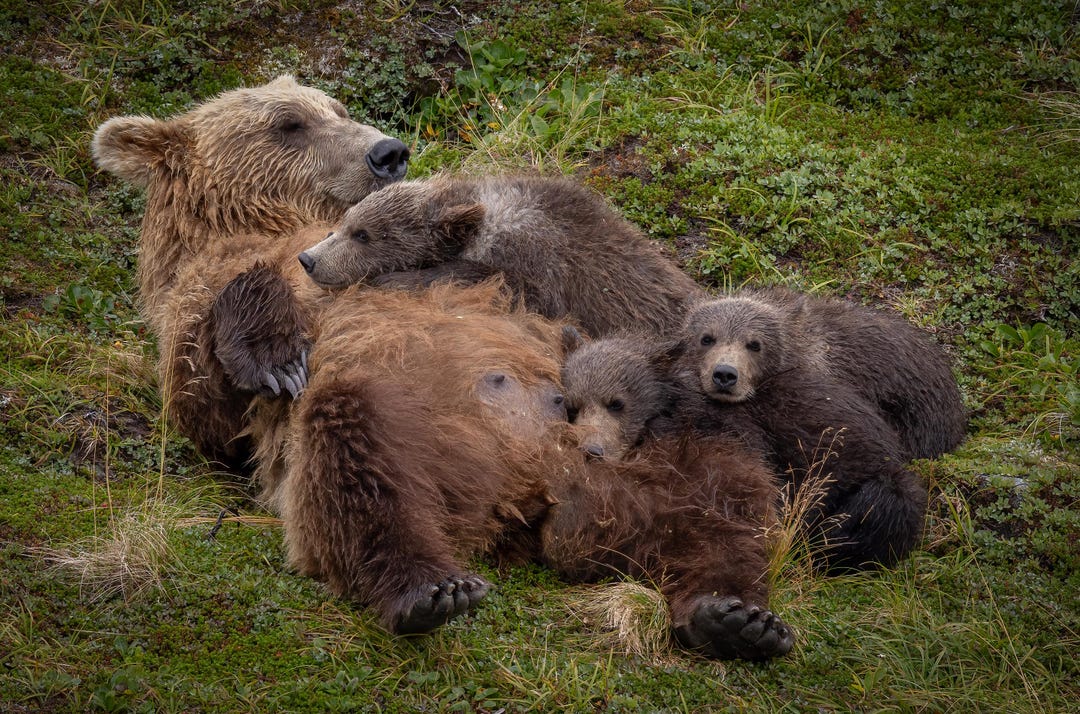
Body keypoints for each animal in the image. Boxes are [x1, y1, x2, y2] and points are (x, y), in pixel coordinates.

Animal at [91, 75, 410, 471]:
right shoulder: (193, 293)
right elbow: (200, 397)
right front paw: (280, 364)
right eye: (290, 124)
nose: (389, 152)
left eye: (339, 111)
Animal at [247, 280, 791, 658]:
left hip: (659, 465)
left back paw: (734, 616)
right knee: (358, 458)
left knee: (725, 500)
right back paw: (432, 590)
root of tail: (532, 489)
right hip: (414, 440)